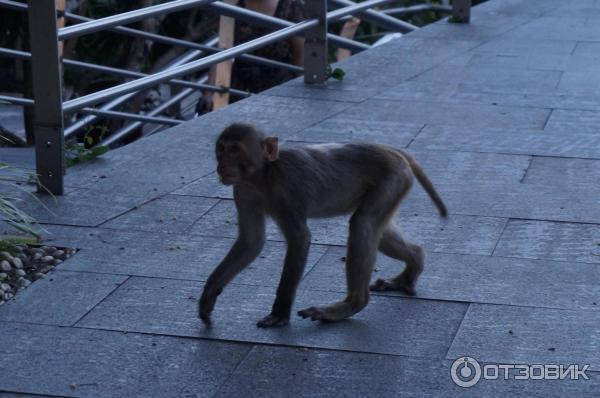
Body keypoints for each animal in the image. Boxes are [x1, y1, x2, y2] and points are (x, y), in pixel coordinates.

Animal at [199, 123, 448, 328]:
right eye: (221, 148)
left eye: (234, 150)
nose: (221, 165)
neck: (264, 175)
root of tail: (390, 150)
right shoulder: (243, 191)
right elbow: (251, 242)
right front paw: (209, 295)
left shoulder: (286, 189)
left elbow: (300, 239)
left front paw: (279, 313)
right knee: (378, 231)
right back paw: (413, 264)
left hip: (393, 178)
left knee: (362, 224)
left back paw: (349, 305)